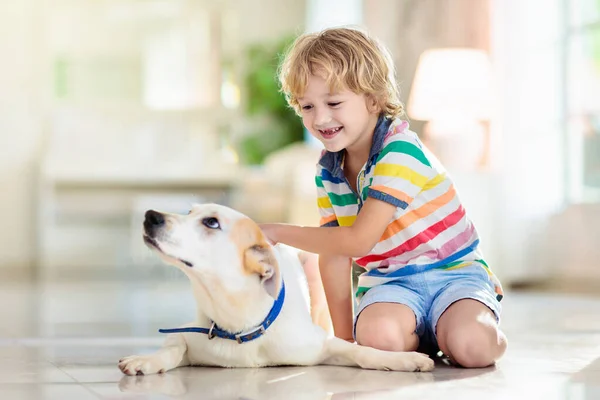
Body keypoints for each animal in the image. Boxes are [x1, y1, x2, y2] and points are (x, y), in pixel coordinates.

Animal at [118, 203, 436, 376]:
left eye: (211, 222)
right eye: (189, 212)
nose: (151, 216)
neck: (241, 324)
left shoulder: (321, 344)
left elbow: (363, 351)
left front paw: (402, 359)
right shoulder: (189, 334)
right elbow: (172, 348)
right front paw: (146, 360)